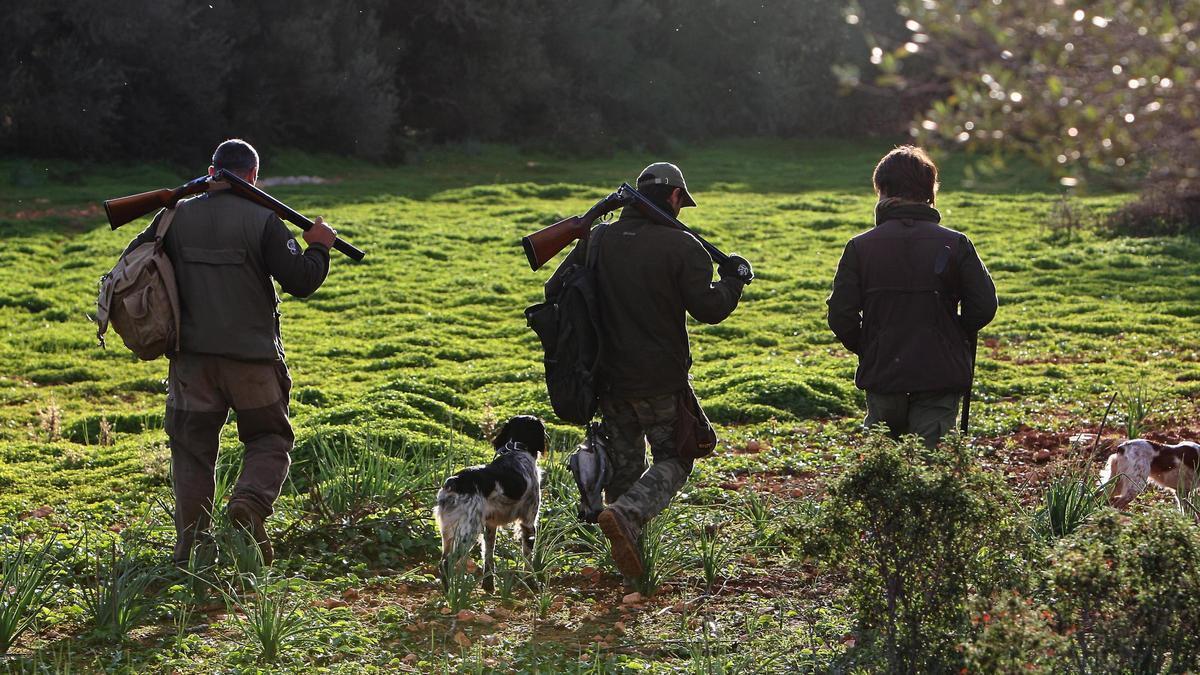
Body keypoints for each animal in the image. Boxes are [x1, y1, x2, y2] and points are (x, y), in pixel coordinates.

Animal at [434, 413, 547, 590]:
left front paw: (488, 585)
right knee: (446, 563)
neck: (517, 449)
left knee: (443, 560)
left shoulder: (490, 526)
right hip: (468, 532)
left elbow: (488, 555)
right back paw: (450, 592)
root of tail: (454, 482)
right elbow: (528, 559)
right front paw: (532, 583)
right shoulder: (528, 523)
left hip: (448, 532)